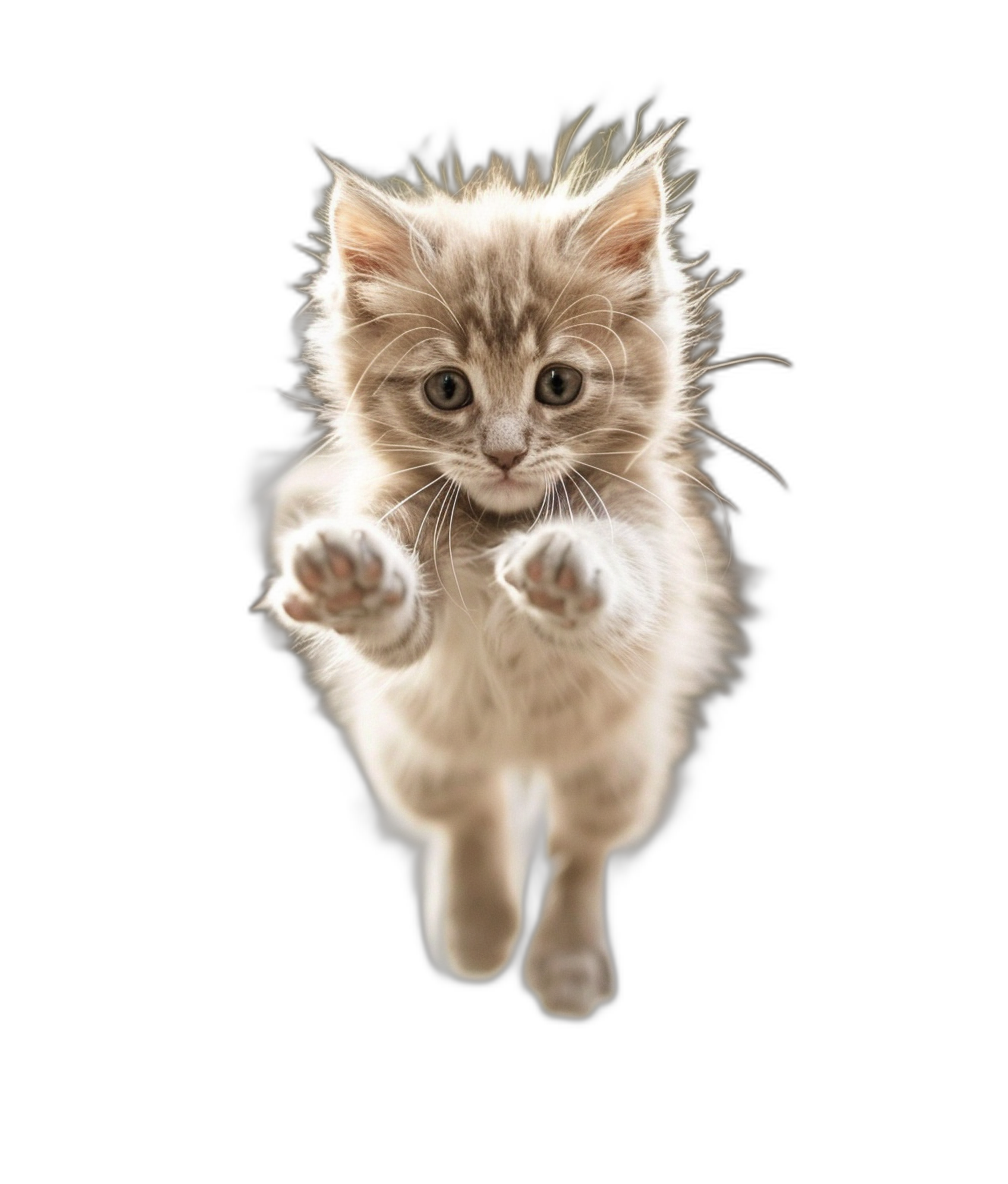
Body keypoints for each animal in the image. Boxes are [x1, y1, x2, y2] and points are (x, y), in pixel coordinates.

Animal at [258, 120, 748, 1018]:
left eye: (558, 384)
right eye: (448, 390)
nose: (507, 452)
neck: (497, 529)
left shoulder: (646, 548)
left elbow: (618, 580)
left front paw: (566, 567)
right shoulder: (402, 597)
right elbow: (397, 633)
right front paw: (352, 583)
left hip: (622, 760)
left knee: (581, 845)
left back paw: (565, 962)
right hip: (414, 753)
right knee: (471, 814)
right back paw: (479, 930)